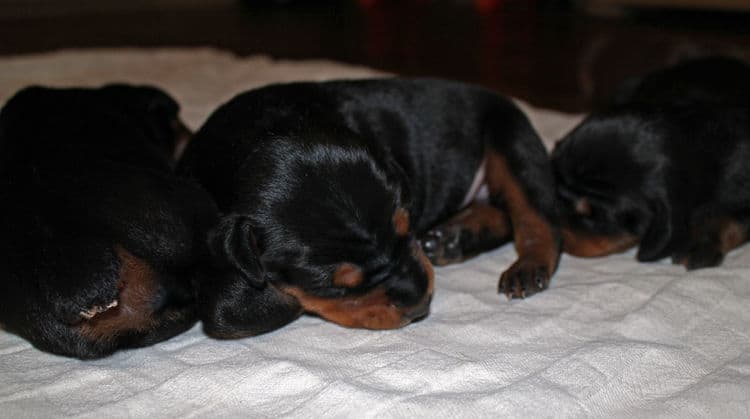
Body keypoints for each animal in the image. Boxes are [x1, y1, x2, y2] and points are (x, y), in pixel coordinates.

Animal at [179, 78, 560, 342]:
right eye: (337, 286)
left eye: (408, 230)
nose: (420, 302)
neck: (264, 131)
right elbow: (231, 312)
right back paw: (455, 237)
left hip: (510, 136)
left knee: (536, 216)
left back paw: (527, 265)